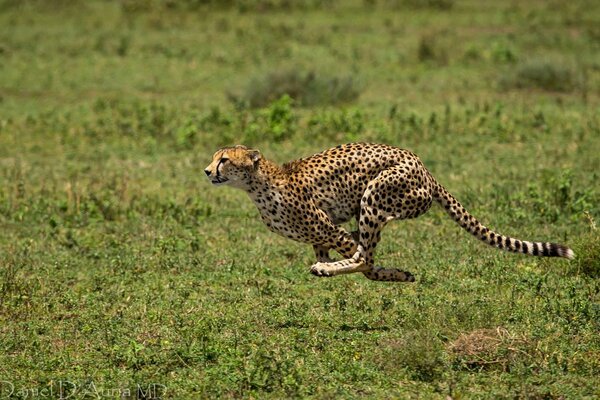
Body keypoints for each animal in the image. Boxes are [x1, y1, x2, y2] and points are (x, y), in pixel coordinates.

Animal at [204, 143, 576, 282]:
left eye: (224, 160)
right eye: (214, 157)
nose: (207, 171)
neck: (257, 185)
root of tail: (424, 167)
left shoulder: (331, 228)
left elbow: (363, 260)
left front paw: (382, 272)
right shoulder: (320, 235)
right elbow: (352, 255)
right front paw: (397, 273)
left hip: (375, 195)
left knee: (365, 255)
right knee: (366, 250)